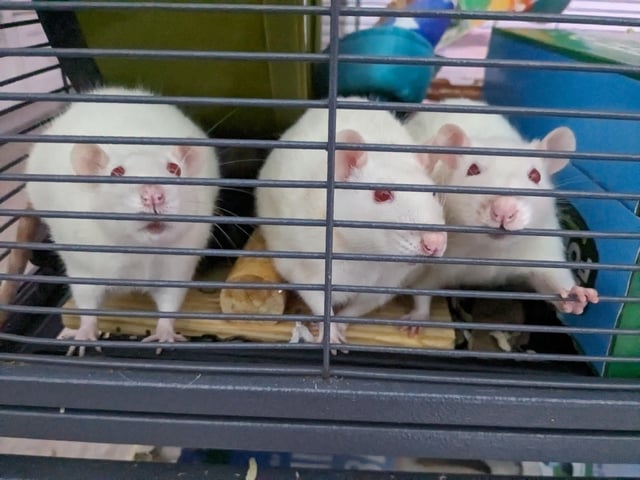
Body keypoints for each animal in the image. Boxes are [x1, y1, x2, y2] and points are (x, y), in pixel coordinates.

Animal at [24, 86, 220, 354]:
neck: (139, 249)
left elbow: (170, 300)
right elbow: (86, 300)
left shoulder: (176, 264)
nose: (153, 195)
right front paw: (84, 334)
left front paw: (165, 333)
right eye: (117, 173)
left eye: (174, 169)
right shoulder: (85, 265)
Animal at [256, 97, 448, 347]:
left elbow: (360, 307)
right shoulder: (306, 263)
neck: (365, 256)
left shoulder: (384, 284)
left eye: (433, 193)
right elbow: (315, 296)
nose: (435, 243)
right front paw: (330, 334)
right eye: (382, 194)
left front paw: (341, 325)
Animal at [402, 98, 598, 332]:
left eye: (535, 176)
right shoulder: (436, 260)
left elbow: (551, 279)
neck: (492, 250)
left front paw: (576, 295)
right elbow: (422, 288)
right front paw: (418, 317)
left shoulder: (542, 246)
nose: (504, 209)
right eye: (473, 170)